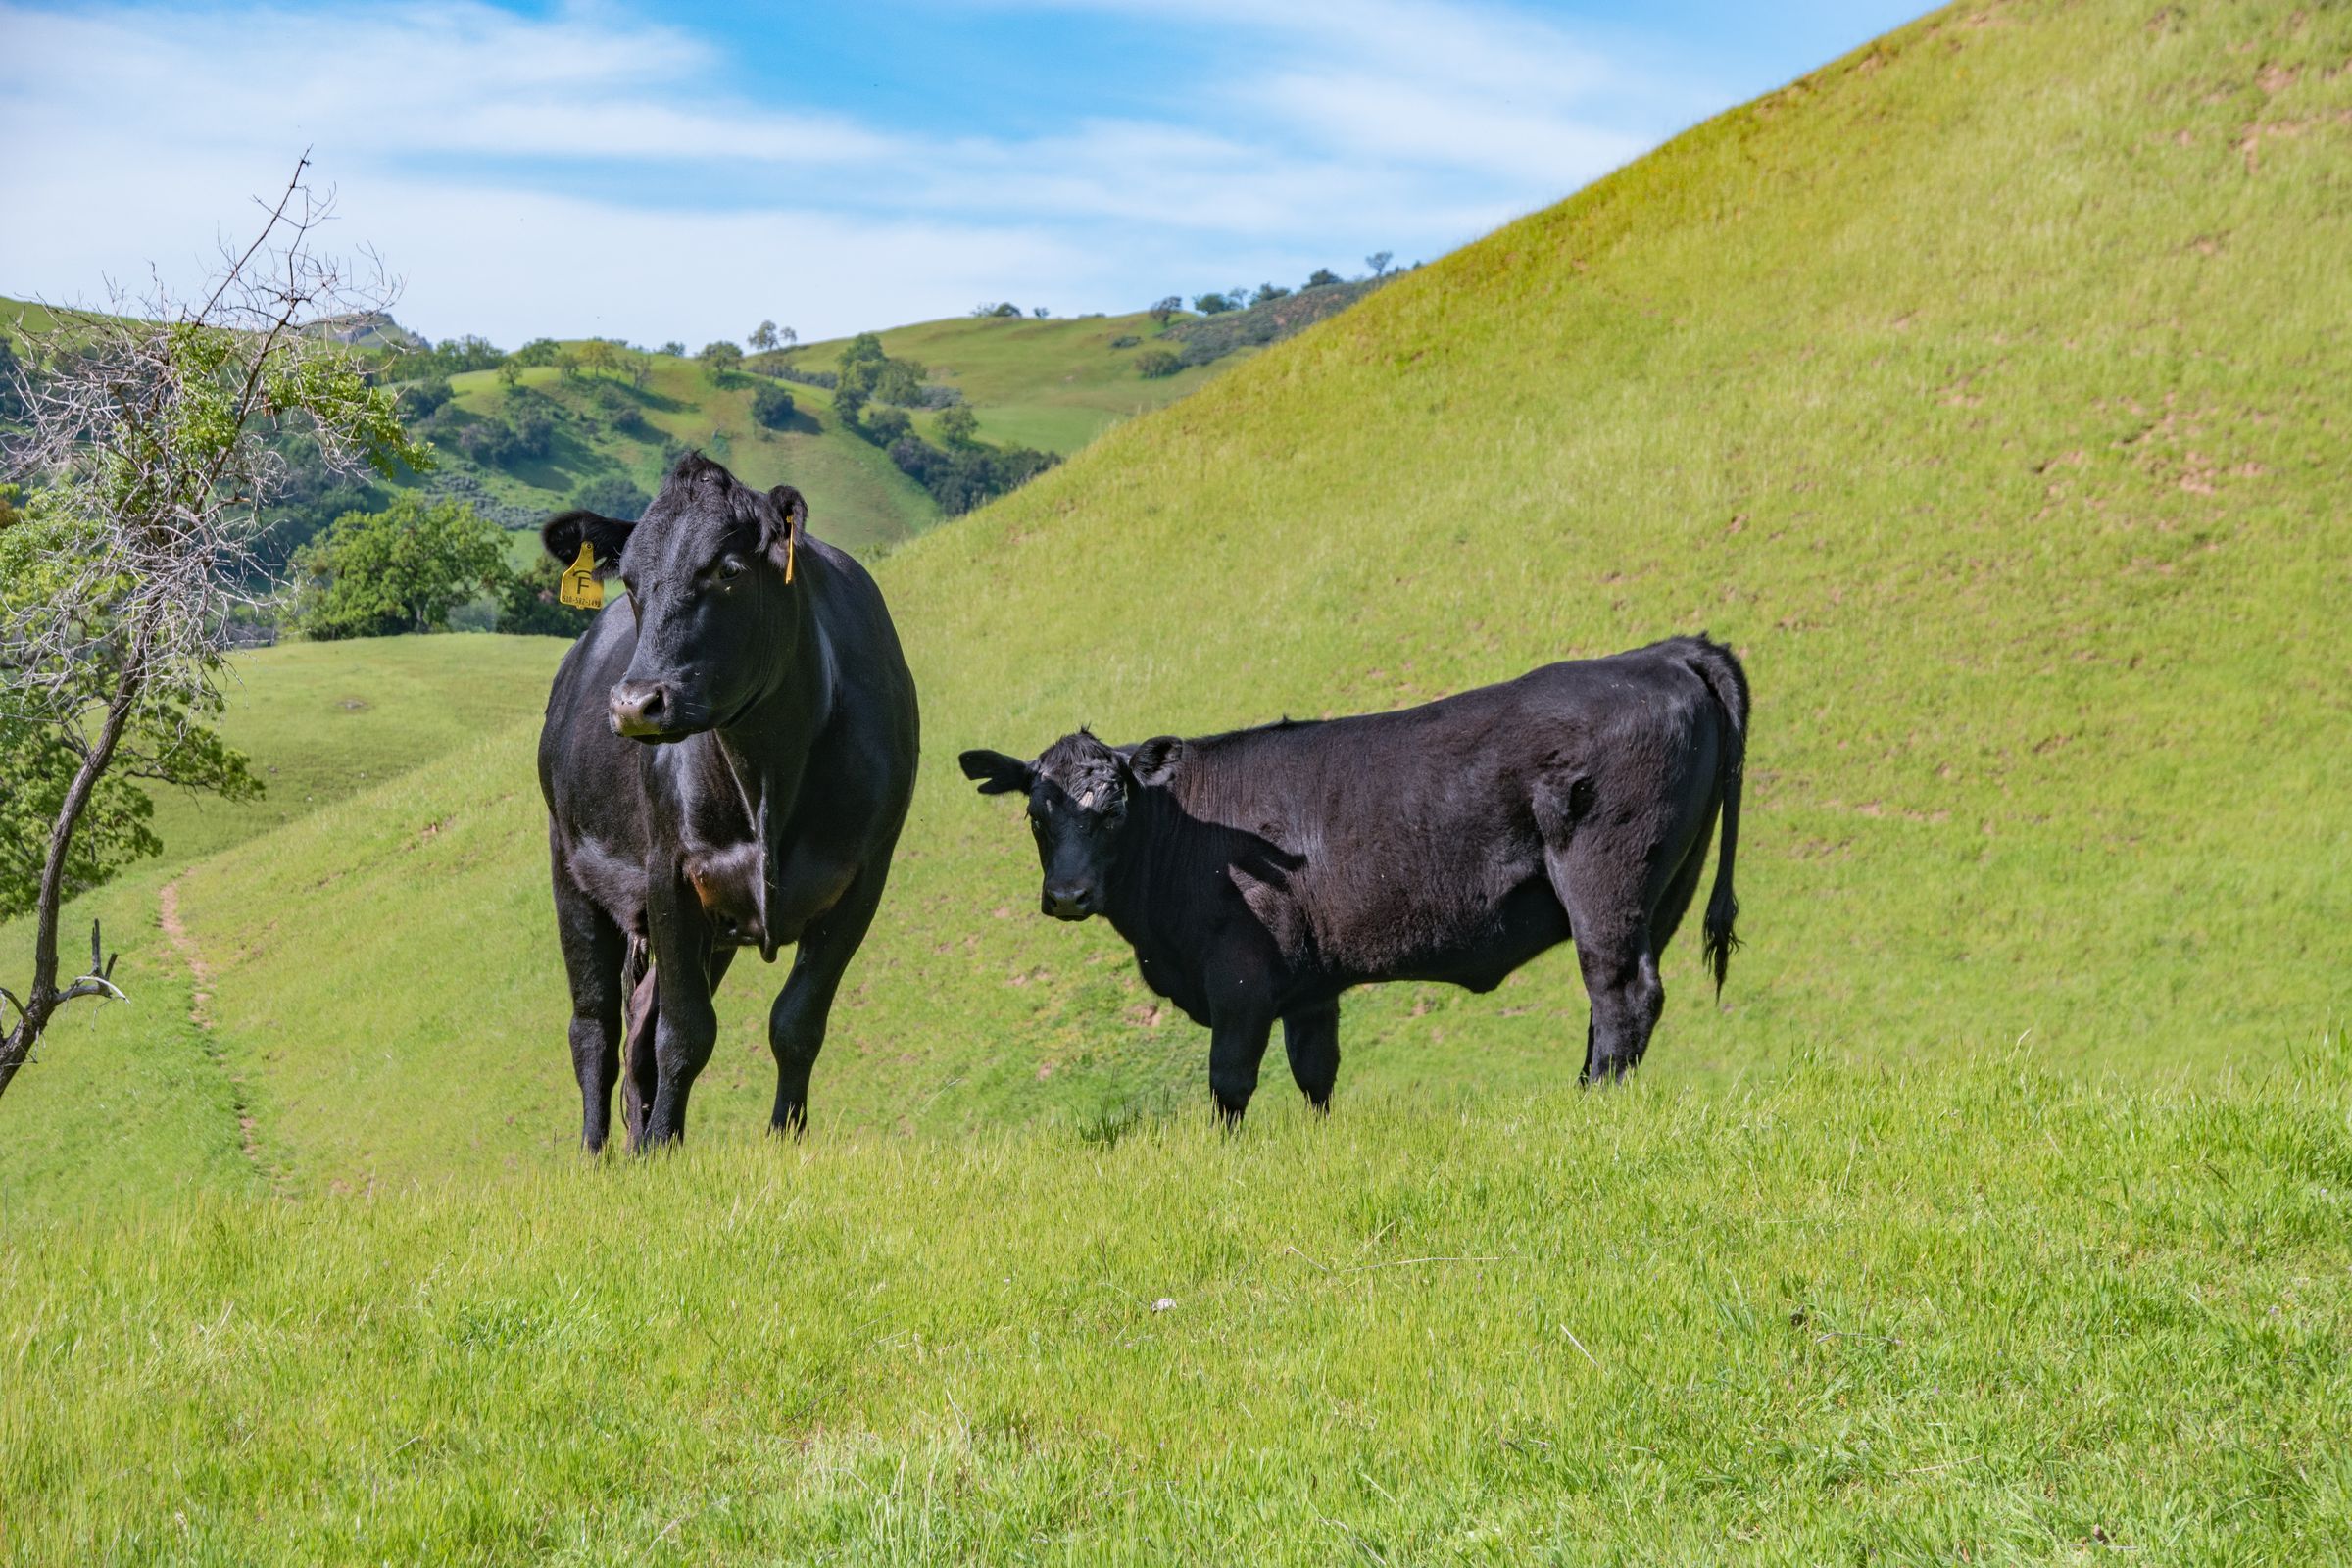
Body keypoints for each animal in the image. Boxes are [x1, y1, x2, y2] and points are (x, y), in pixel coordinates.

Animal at [538, 451, 917, 1152]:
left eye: (728, 571)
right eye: (630, 581)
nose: (634, 703)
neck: (769, 765)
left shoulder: (862, 880)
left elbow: (796, 1024)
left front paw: (784, 1140)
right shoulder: (670, 872)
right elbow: (685, 1034)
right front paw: (664, 1148)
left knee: (638, 1027)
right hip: (569, 869)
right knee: (596, 1028)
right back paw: (599, 1155)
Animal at [955, 629, 1749, 1123]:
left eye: (1114, 808)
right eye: (1036, 812)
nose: (1068, 895)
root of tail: (1665, 653)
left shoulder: (1239, 979)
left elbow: (1230, 1082)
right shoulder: (1310, 985)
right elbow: (1316, 1073)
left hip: (1605, 881)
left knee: (1620, 994)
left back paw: (1590, 1106)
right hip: (1663, 891)